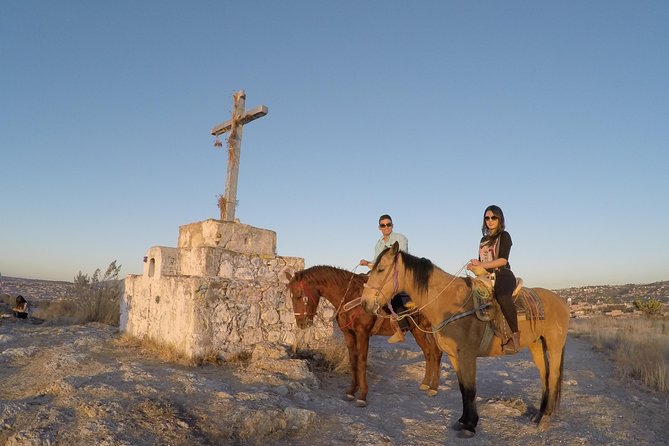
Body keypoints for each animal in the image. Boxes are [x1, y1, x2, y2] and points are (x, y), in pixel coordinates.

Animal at [284, 264, 444, 408]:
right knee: (428, 352)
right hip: (417, 330)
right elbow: (353, 361)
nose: (301, 323)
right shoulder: (348, 334)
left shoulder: (363, 334)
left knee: (436, 352)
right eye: (291, 296)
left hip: (429, 329)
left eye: (299, 295)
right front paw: (351, 391)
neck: (351, 296)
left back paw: (433, 388)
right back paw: (425, 384)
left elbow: (361, 362)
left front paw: (362, 396)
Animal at [360, 242, 568, 438]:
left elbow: (470, 389)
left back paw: (546, 418)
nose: (365, 303)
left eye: (381, 269)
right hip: (536, 345)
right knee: (544, 376)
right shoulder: (454, 356)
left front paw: (470, 426)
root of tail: (561, 301)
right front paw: (464, 421)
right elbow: (462, 389)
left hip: (555, 346)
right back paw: (539, 415)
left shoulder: (467, 356)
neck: (450, 303)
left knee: (553, 376)